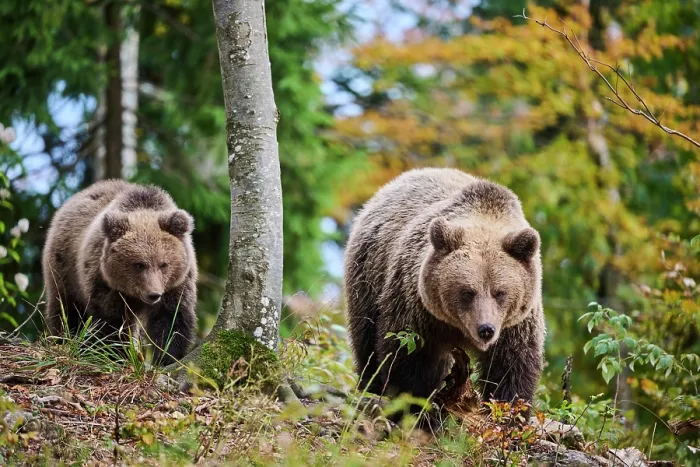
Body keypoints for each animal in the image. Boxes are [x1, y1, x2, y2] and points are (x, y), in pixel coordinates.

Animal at [42, 179, 198, 366]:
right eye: (139, 264)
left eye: (164, 264)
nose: (154, 294)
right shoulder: (105, 283)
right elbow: (112, 322)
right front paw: (115, 355)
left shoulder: (177, 284)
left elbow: (172, 319)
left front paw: (167, 357)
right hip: (64, 268)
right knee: (67, 308)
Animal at [344, 167, 545, 413]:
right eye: (467, 291)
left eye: (500, 292)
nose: (485, 329)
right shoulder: (417, 308)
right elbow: (409, 355)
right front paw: (418, 404)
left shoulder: (515, 325)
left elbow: (511, 367)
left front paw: (508, 410)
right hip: (368, 273)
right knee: (366, 336)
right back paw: (370, 386)